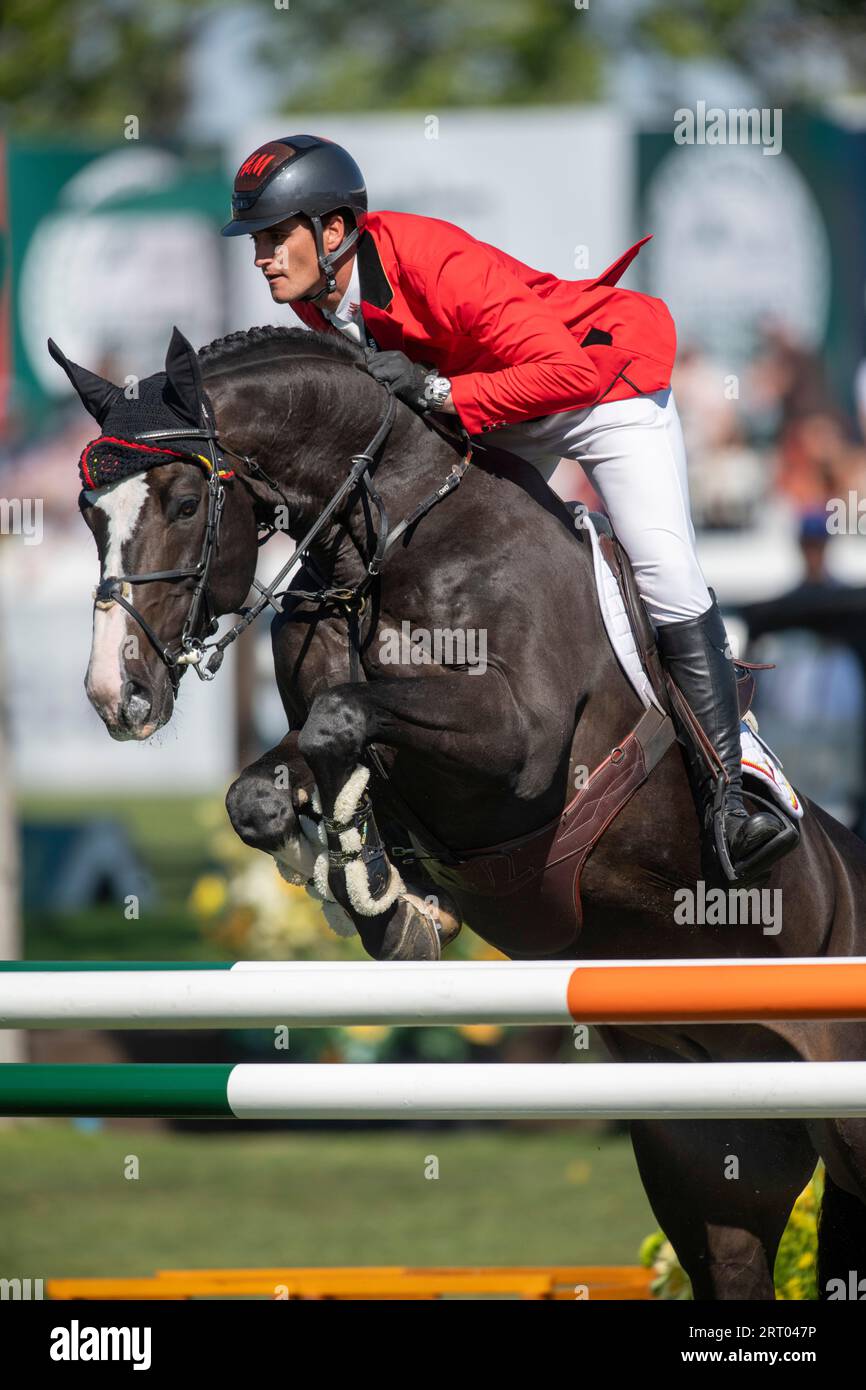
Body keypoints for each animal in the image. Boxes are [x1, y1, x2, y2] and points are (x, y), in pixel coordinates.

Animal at [55, 325, 866, 1301]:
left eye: (181, 501)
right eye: (88, 511)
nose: (117, 696)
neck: (389, 535)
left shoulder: (519, 745)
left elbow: (346, 717)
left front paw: (375, 882)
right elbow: (270, 785)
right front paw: (379, 895)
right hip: (714, 1152)